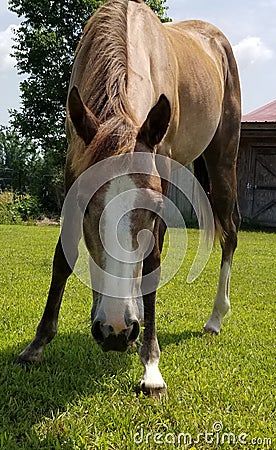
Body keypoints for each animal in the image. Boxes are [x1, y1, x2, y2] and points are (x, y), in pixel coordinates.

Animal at [18, 0, 240, 398]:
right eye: (84, 203)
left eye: (151, 209)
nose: (116, 331)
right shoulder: (73, 167)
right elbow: (64, 258)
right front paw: (37, 345)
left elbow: (152, 261)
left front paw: (150, 364)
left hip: (222, 162)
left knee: (229, 233)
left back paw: (215, 318)